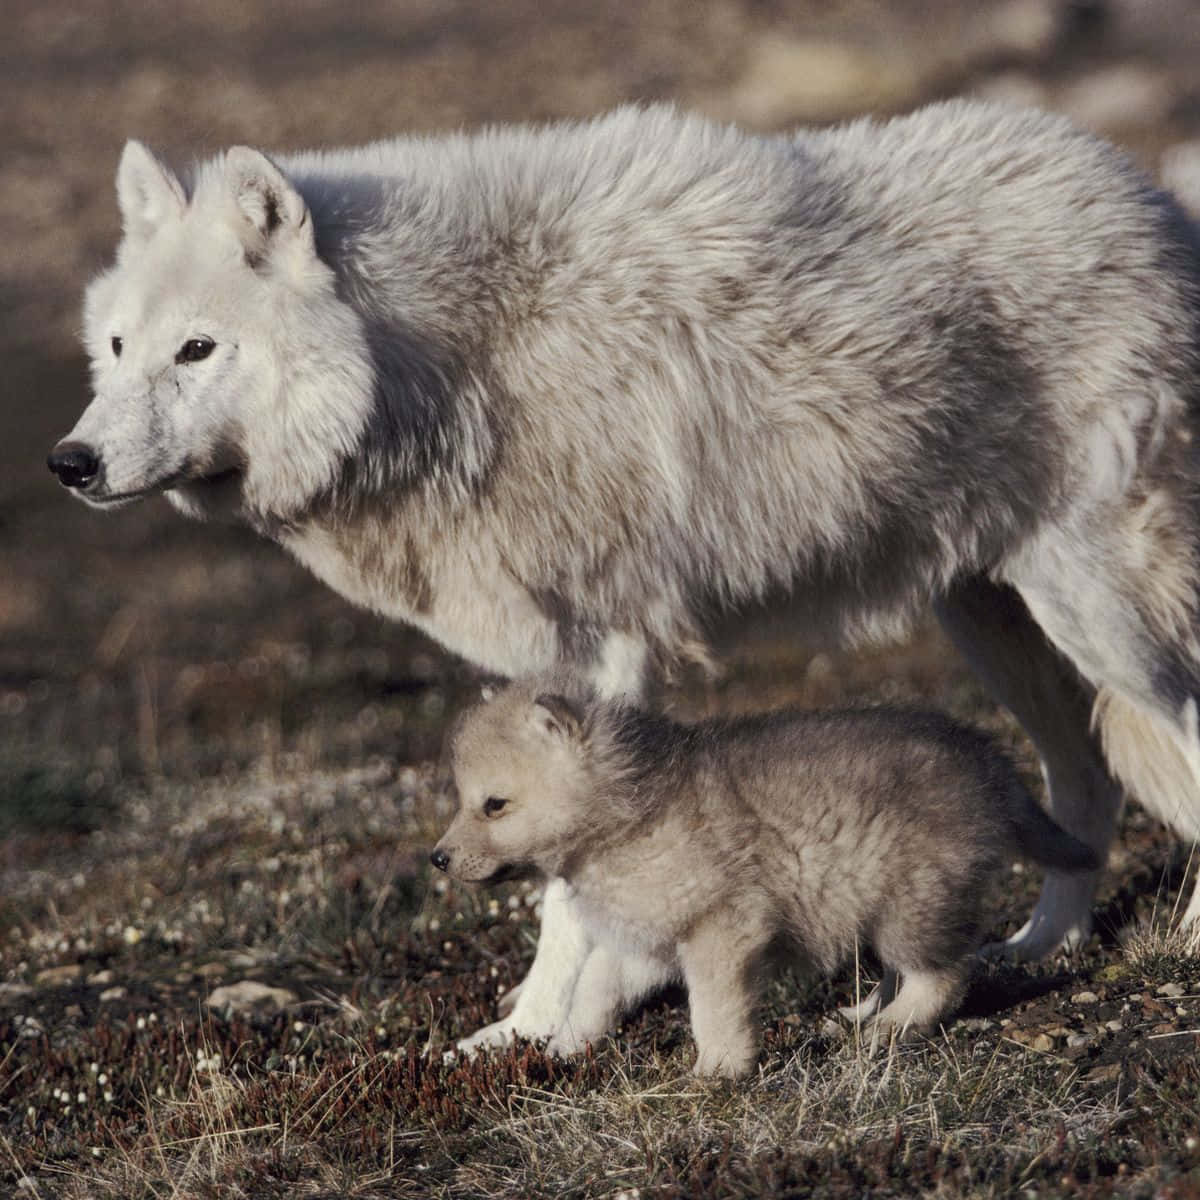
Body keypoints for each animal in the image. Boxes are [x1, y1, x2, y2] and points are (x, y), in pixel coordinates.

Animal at [51, 98, 1200, 1046]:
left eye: (198, 350)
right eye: (116, 347)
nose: (72, 463)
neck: (439, 367)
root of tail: (1142, 193)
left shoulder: (599, 654)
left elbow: (567, 894)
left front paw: (552, 1037)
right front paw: (528, 1035)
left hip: (1096, 611)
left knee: (1168, 737)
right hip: (998, 623)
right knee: (1087, 786)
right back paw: (1042, 947)